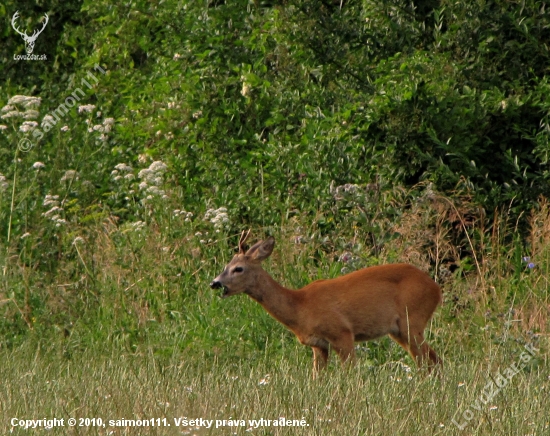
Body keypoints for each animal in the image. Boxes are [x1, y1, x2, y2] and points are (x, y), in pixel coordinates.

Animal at [211, 232, 444, 374]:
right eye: (226, 265)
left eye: (238, 268)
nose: (215, 283)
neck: (300, 307)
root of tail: (436, 288)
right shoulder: (319, 345)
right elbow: (317, 378)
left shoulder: (342, 333)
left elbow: (352, 373)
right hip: (399, 330)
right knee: (431, 361)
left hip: (412, 320)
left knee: (430, 361)